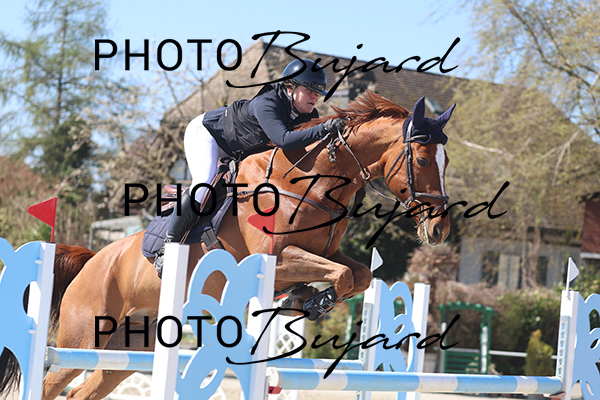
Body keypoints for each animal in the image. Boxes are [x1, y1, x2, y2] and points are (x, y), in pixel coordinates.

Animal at [1, 91, 456, 400]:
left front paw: (306, 299)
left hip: (128, 347)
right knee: (50, 382)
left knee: (84, 390)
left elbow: (357, 274)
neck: (308, 184)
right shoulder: (275, 258)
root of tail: (94, 259)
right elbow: (342, 274)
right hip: (82, 338)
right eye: (421, 160)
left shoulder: (324, 253)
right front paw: (311, 299)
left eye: (446, 161)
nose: (440, 229)